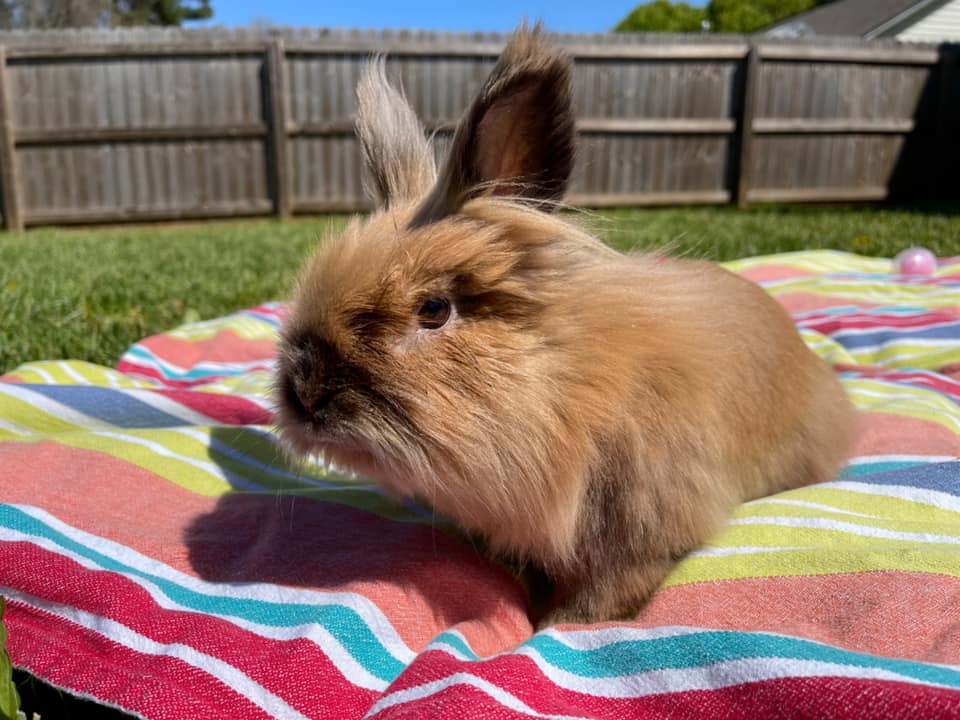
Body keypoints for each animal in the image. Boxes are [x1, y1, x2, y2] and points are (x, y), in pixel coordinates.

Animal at [276, 25, 856, 628]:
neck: (570, 390)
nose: (305, 393)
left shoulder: (638, 539)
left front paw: (552, 626)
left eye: (434, 309)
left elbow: (599, 598)